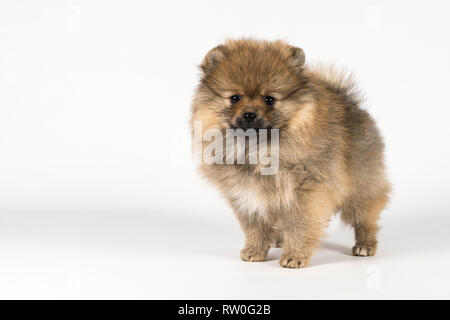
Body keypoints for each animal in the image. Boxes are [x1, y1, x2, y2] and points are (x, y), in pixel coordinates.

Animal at [190, 38, 390, 268]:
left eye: (269, 99)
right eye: (234, 98)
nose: (249, 114)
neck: (257, 148)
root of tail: (351, 103)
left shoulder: (304, 193)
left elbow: (299, 225)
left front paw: (294, 256)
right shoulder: (245, 193)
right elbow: (255, 227)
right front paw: (255, 250)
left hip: (360, 186)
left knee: (365, 217)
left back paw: (365, 244)